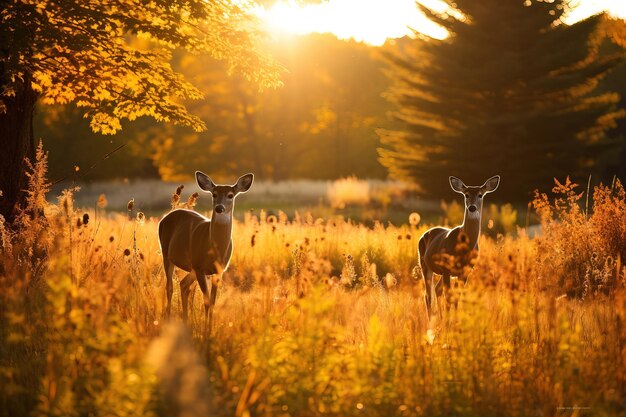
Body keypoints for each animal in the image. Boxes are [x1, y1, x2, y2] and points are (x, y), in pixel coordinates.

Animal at [157, 171, 252, 334]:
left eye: (230, 195)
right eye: (214, 194)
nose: (219, 208)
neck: (214, 249)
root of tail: (166, 216)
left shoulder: (218, 271)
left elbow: (212, 302)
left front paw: (210, 329)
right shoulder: (200, 268)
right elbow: (206, 301)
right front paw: (206, 331)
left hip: (192, 267)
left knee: (183, 285)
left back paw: (185, 321)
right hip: (167, 255)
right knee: (169, 287)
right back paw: (169, 320)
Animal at [416, 175, 500, 316]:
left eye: (480, 195)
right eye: (466, 194)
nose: (472, 207)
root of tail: (425, 234)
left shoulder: (465, 271)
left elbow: (456, 297)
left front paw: (454, 320)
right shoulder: (447, 268)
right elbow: (449, 297)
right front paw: (449, 320)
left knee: (437, 290)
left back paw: (440, 317)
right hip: (425, 264)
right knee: (428, 295)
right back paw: (431, 319)